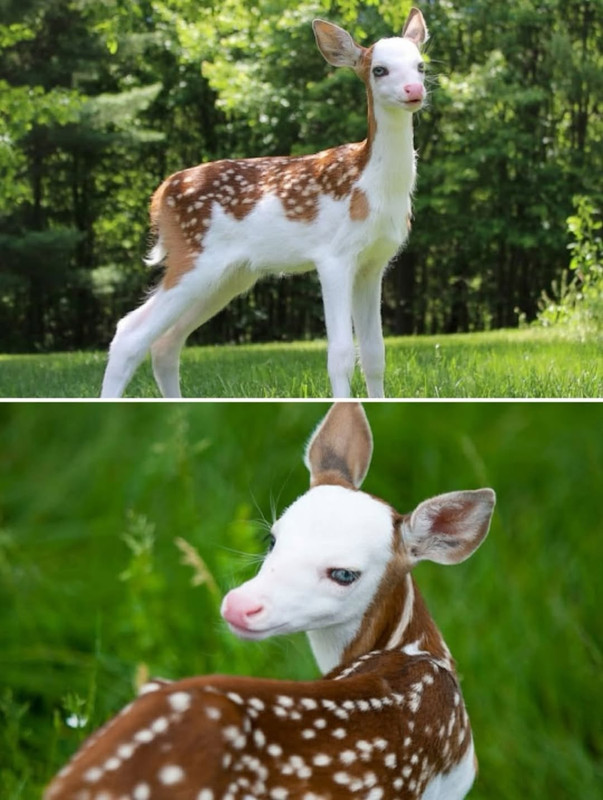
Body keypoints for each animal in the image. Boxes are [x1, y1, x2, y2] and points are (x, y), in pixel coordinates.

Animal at [100, 8, 429, 399]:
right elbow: (341, 354)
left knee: (166, 342)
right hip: (193, 256)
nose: (414, 90)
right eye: (379, 69)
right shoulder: (334, 255)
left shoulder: (373, 263)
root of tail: (161, 193)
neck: (372, 185)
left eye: (420, 65)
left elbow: (375, 353)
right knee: (129, 333)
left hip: (229, 275)